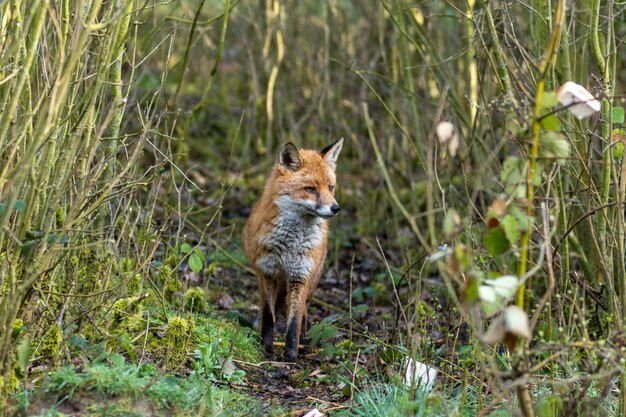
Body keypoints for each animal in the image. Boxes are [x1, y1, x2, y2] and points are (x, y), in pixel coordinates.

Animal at [241, 140, 344, 360]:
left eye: (331, 188)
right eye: (310, 189)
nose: (336, 208)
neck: (289, 245)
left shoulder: (300, 276)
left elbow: (294, 321)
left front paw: (290, 355)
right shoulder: (267, 272)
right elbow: (268, 316)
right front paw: (266, 348)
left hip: (312, 280)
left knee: (303, 311)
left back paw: (304, 340)